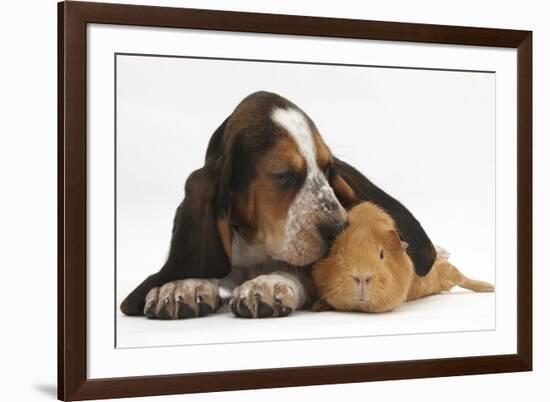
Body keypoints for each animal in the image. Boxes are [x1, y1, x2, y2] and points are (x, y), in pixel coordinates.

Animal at [118, 92, 438, 320]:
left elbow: (295, 270)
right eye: (283, 174)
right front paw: (181, 285)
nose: (339, 229)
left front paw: (268, 284)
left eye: (328, 168)